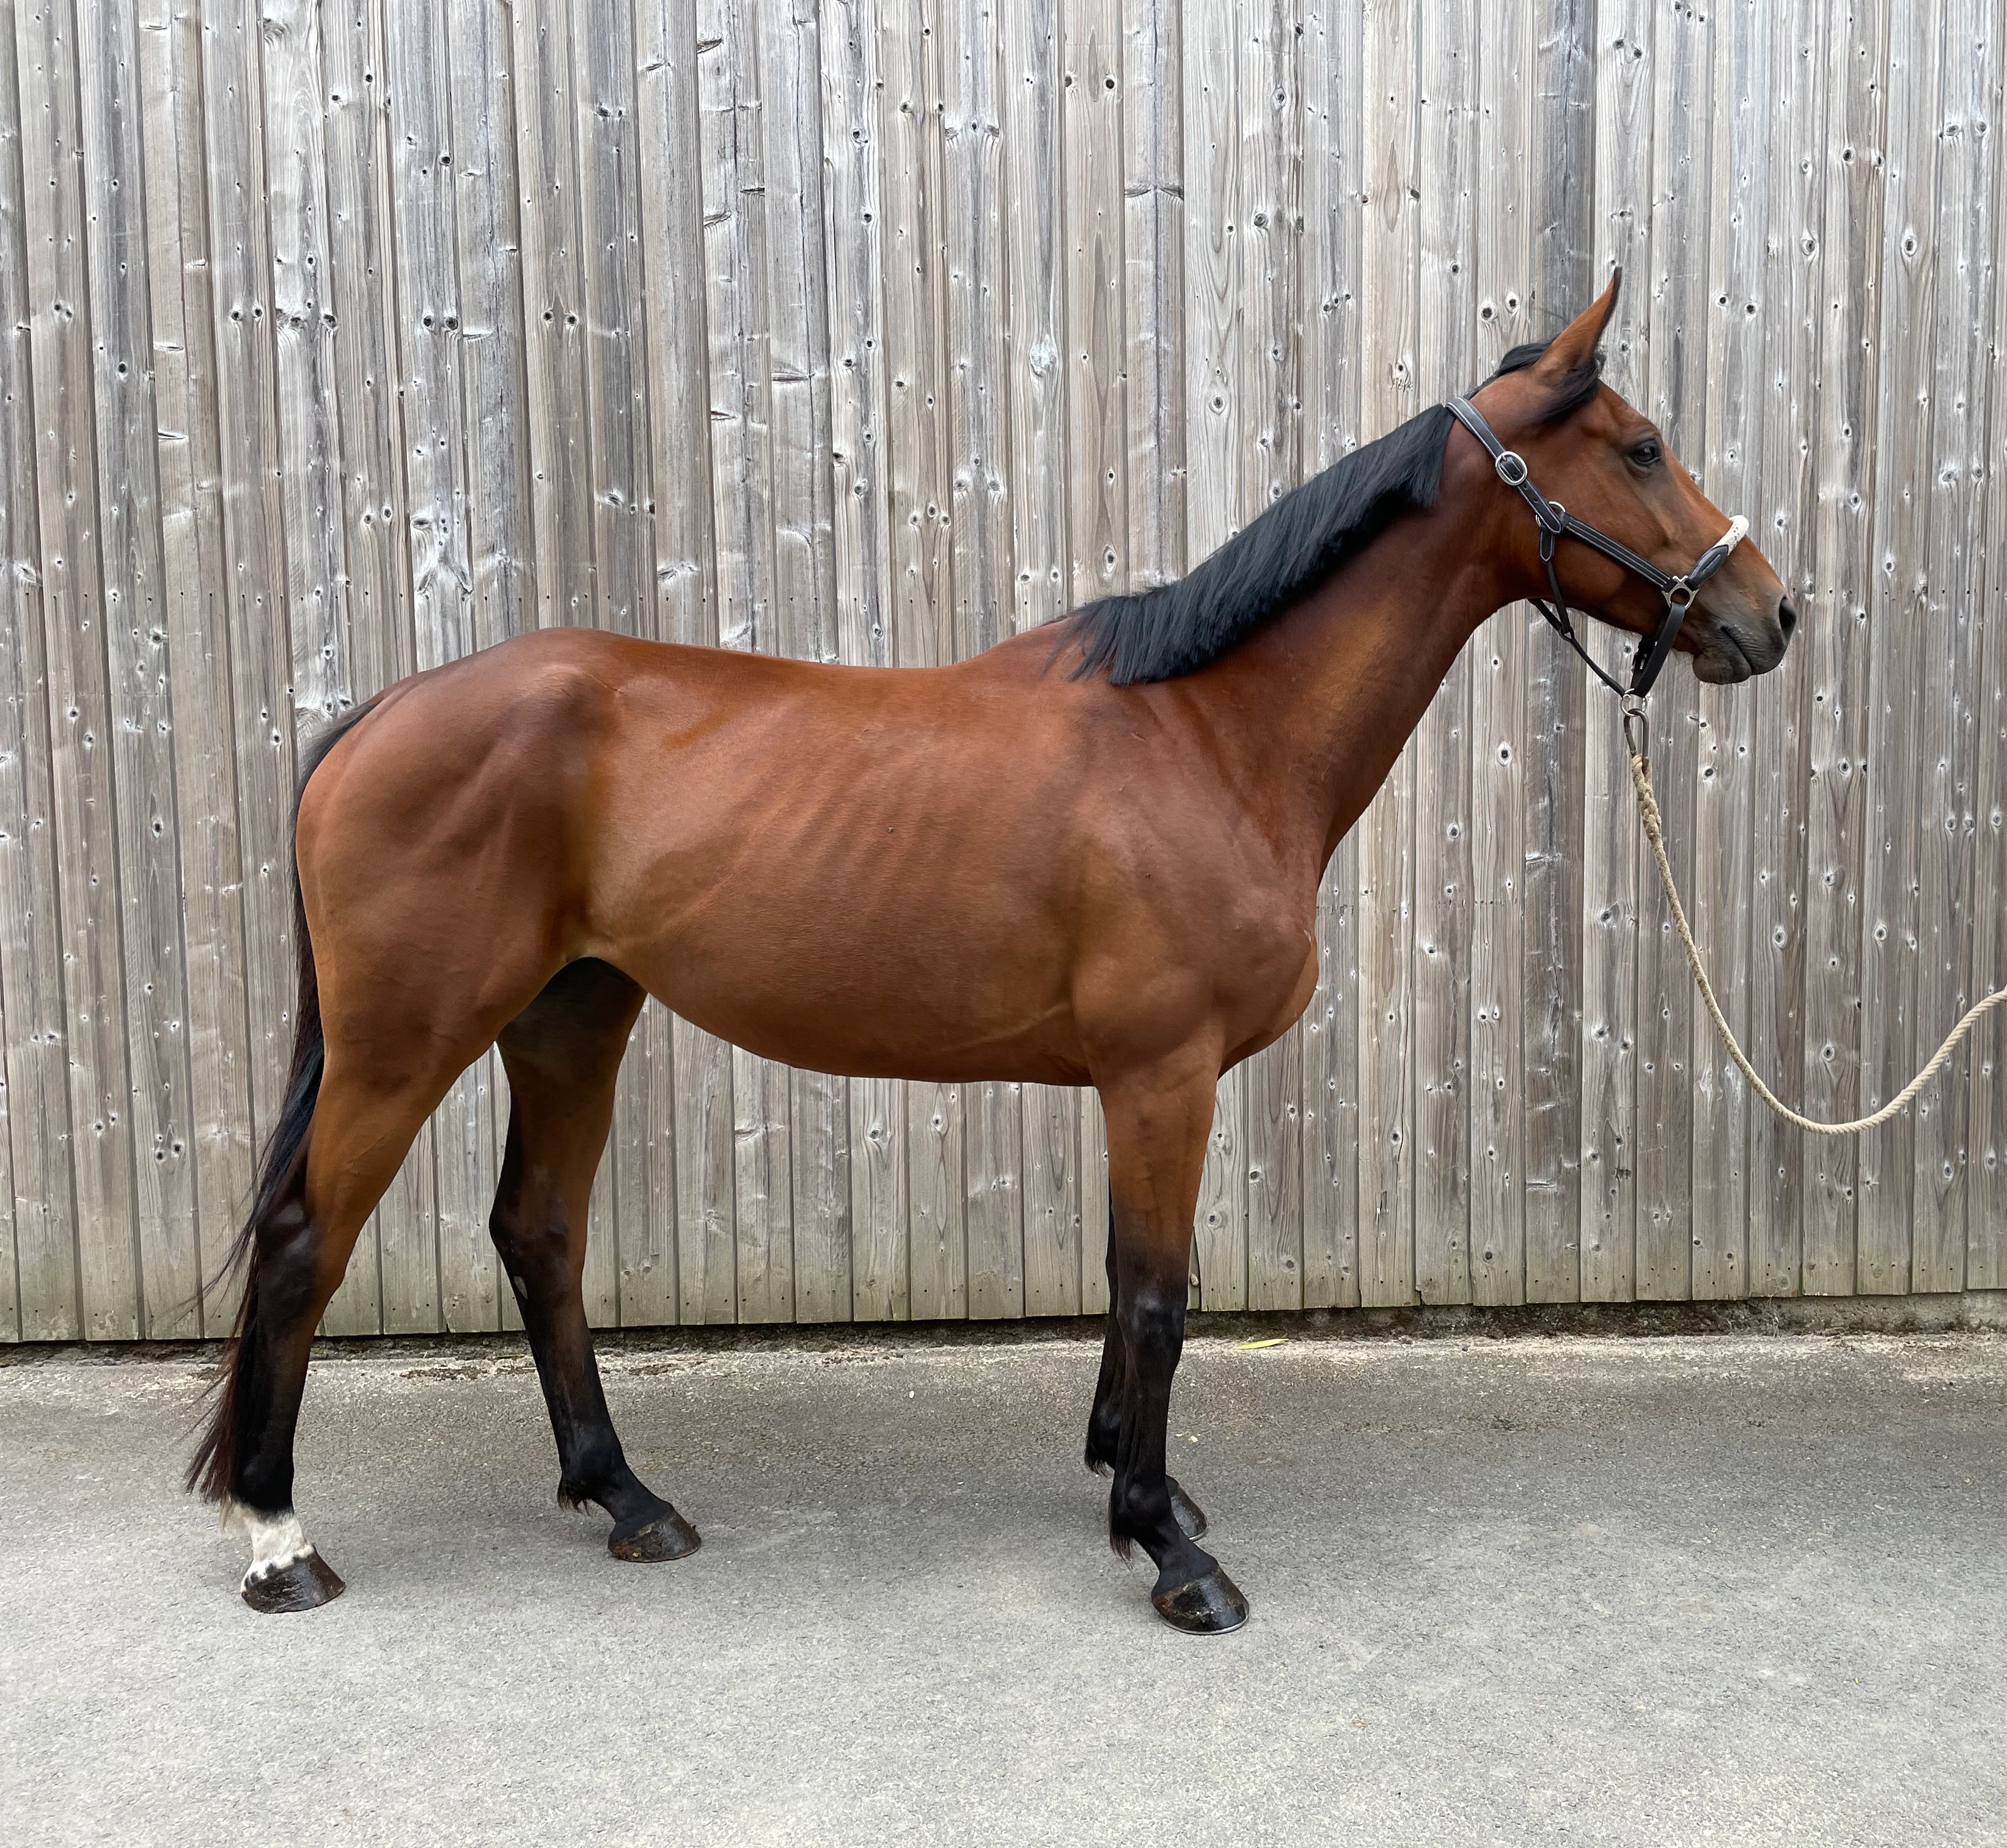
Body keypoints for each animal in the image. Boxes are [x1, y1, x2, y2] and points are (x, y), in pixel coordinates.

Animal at [189, 272, 1793, 1632]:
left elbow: (1131, 1291)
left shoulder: (1146, 1085)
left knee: (540, 1236)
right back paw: (280, 1541)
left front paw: (1135, 1483)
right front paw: (1169, 1548)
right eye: (1641, 447)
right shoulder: (1163, 1073)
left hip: (574, 1014)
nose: (1769, 612)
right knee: (307, 1241)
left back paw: (627, 1498)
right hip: (408, 1042)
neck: (1211, 740)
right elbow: (1155, 1295)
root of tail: (380, 716)